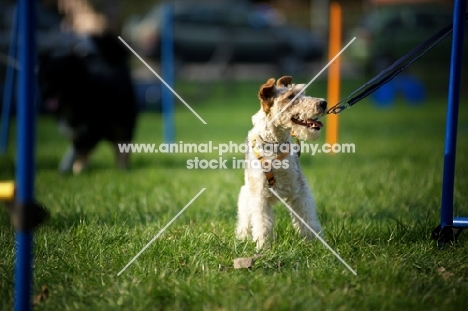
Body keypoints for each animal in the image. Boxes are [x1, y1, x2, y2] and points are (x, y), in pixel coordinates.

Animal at [38, 33, 137, 174]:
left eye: (58, 76)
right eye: (45, 76)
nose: (46, 91)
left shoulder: (93, 128)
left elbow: (80, 148)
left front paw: (74, 167)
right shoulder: (74, 131)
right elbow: (76, 148)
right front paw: (72, 166)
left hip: (122, 123)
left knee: (122, 146)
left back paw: (121, 167)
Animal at [238, 76, 326, 251]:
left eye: (302, 92)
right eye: (290, 96)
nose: (323, 103)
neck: (275, 146)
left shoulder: (300, 190)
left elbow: (308, 219)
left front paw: (316, 243)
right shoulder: (259, 196)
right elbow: (262, 224)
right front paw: (263, 248)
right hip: (247, 192)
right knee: (245, 218)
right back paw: (241, 237)